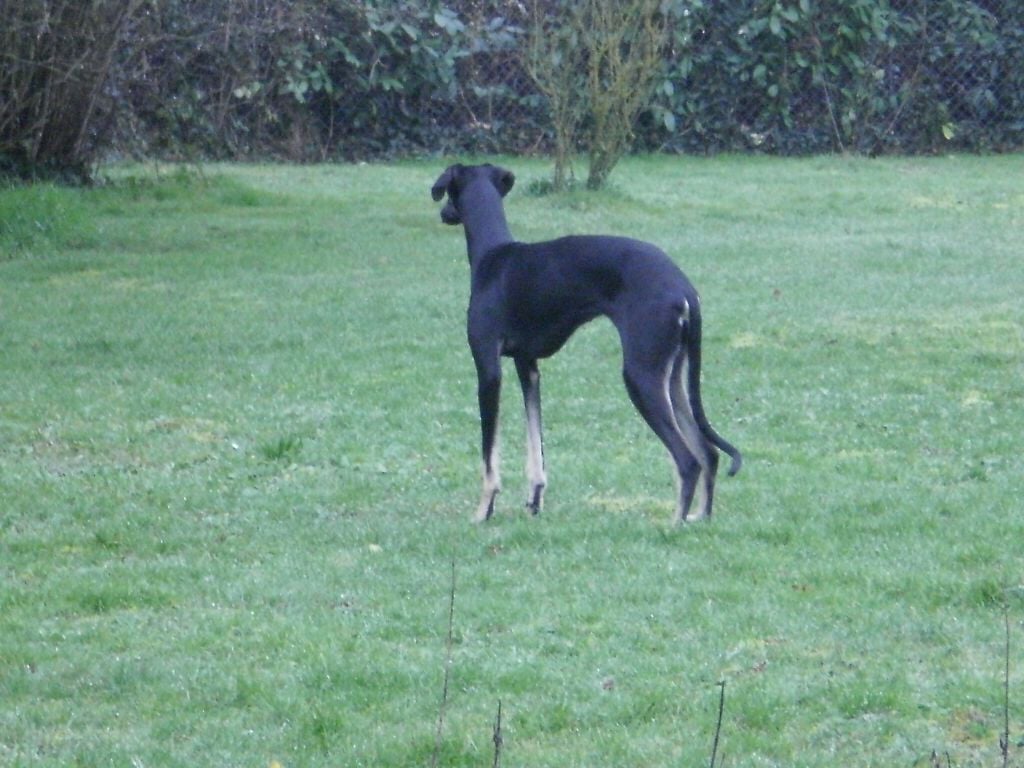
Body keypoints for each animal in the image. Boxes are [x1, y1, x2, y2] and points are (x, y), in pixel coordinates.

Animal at [432, 163, 741, 524]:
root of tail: (683, 288)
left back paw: (674, 523)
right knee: (708, 452)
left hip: (642, 377)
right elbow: (535, 444)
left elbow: (489, 452)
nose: (443, 213)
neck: (493, 258)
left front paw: (483, 511)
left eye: (448, 192)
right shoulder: (528, 367)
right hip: (673, 378)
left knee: (687, 460)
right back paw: (700, 517)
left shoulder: (488, 369)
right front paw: (534, 501)